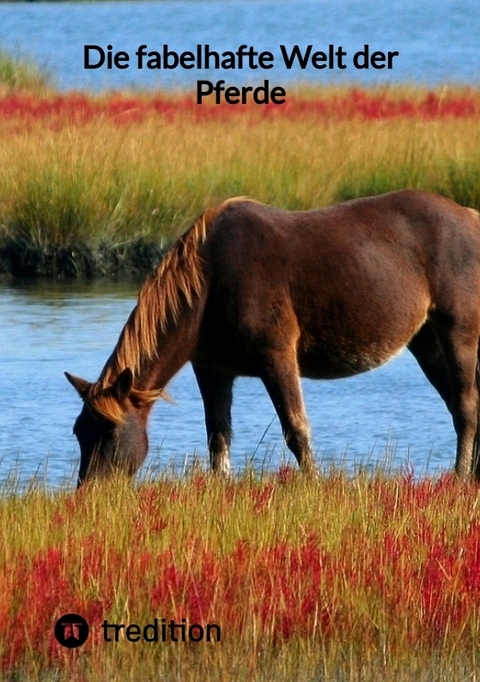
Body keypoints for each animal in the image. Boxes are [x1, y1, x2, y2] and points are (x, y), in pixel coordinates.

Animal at [65, 189, 480, 486]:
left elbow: (296, 429)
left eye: (109, 433)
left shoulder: (277, 357)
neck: (210, 283)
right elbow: (218, 436)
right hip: (425, 341)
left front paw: (313, 485)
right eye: (79, 432)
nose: (89, 494)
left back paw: (460, 476)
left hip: (458, 330)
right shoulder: (211, 368)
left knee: (465, 405)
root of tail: (470, 216)